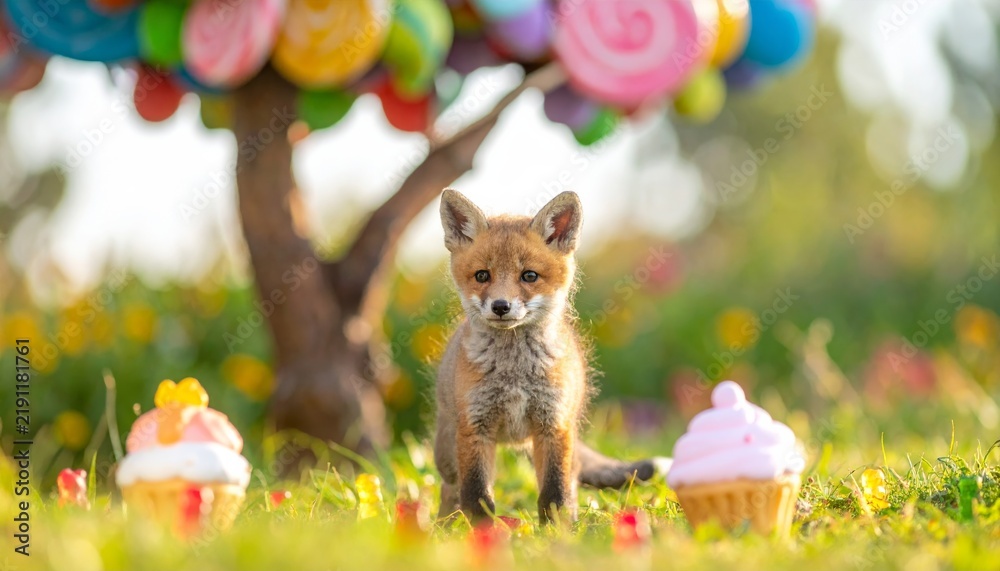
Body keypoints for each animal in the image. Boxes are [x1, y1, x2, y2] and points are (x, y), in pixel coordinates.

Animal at [434, 189, 670, 524]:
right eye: (482, 275)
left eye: (529, 275)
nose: (501, 306)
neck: (514, 373)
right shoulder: (475, 427)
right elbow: (478, 496)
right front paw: (483, 532)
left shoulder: (553, 424)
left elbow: (554, 493)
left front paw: (558, 531)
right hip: (447, 452)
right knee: (450, 489)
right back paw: (444, 525)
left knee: (573, 478)